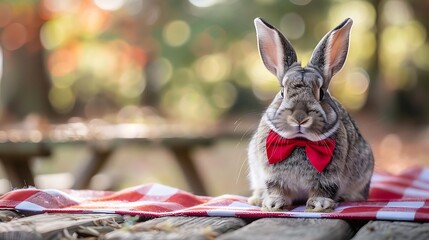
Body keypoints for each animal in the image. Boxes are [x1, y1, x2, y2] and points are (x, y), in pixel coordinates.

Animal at [246, 17, 372, 212]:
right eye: (282, 92)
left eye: (321, 93)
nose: (299, 117)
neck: (300, 141)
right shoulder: (272, 177)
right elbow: (276, 189)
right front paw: (273, 204)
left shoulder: (328, 177)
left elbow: (322, 190)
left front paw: (320, 205)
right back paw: (256, 199)